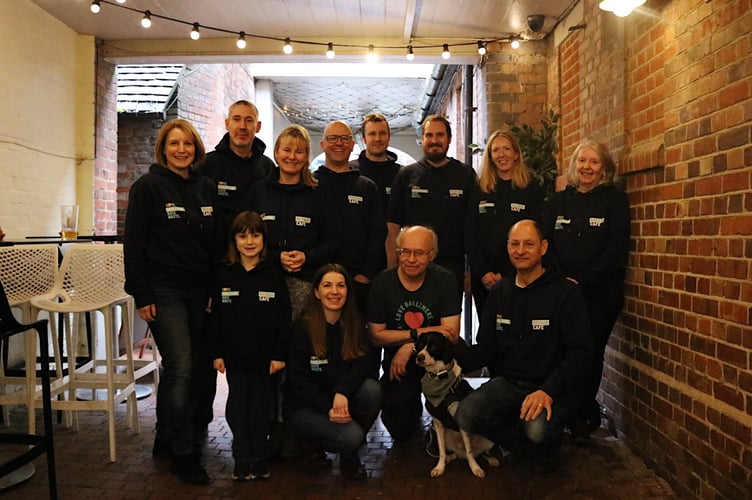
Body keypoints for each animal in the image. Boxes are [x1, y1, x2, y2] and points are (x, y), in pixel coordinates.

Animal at [412, 332, 500, 476]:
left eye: (434, 347)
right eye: (419, 345)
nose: (419, 357)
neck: (439, 378)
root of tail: (460, 454)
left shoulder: (461, 421)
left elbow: (469, 451)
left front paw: (475, 468)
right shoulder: (438, 423)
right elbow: (441, 450)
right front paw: (440, 467)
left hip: (488, 439)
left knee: (480, 453)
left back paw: (491, 459)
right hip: (446, 437)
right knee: (454, 454)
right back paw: (449, 458)